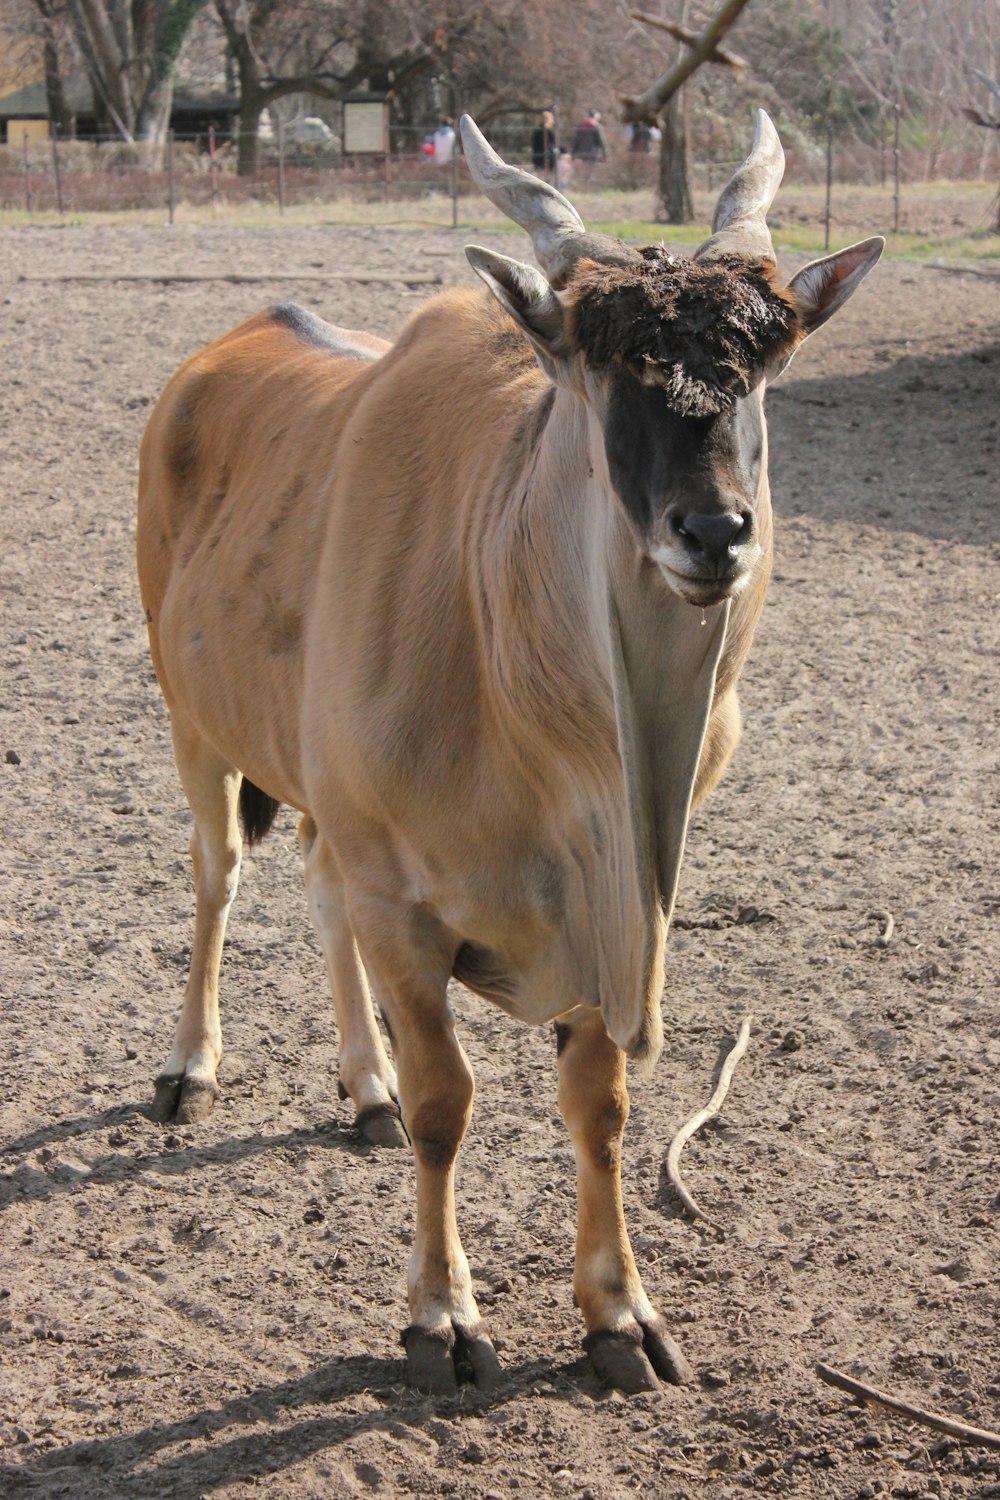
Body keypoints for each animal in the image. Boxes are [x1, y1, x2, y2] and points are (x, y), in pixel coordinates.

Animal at [137, 108, 881, 1392]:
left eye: (760, 361)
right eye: (601, 361)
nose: (713, 531)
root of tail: (215, 356)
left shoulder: (607, 914)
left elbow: (601, 1108)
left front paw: (618, 1315)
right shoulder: (406, 905)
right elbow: (451, 1104)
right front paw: (442, 1319)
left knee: (314, 892)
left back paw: (362, 1089)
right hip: (198, 729)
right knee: (219, 877)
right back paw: (194, 1069)